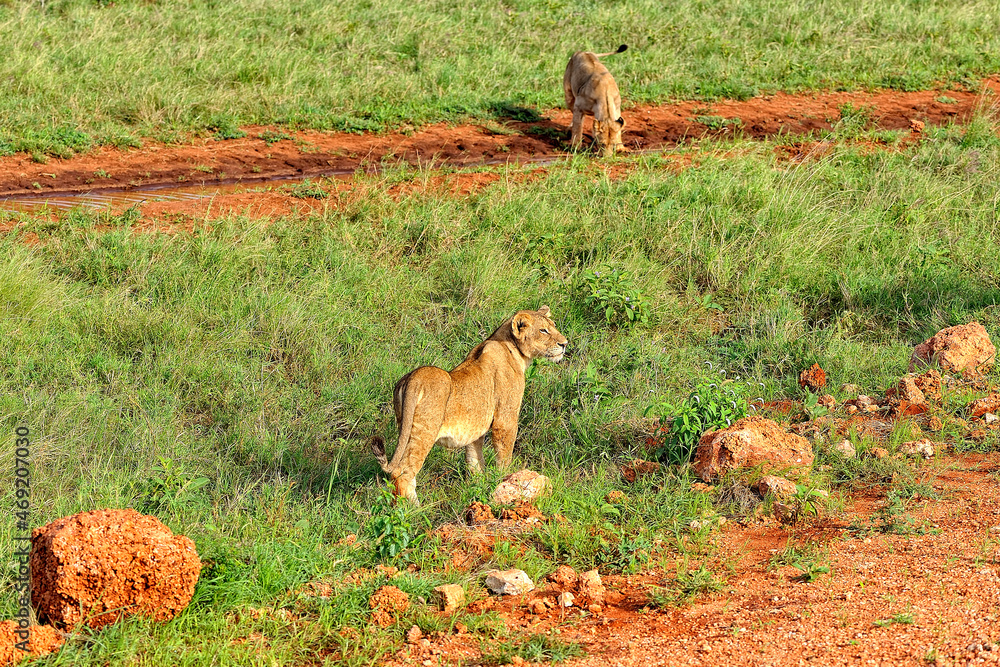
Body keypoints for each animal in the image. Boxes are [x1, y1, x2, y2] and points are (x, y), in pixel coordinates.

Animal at [371, 306, 568, 504]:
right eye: (543, 330)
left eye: (553, 326)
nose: (564, 344)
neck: (511, 348)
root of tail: (413, 378)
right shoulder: (505, 420)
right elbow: (504, 456)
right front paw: (507, 480)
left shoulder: (475, 431)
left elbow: (475, 461)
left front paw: (478, 487)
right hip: (424, 432)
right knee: (402, 472)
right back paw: (414, 509)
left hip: (404, 427)